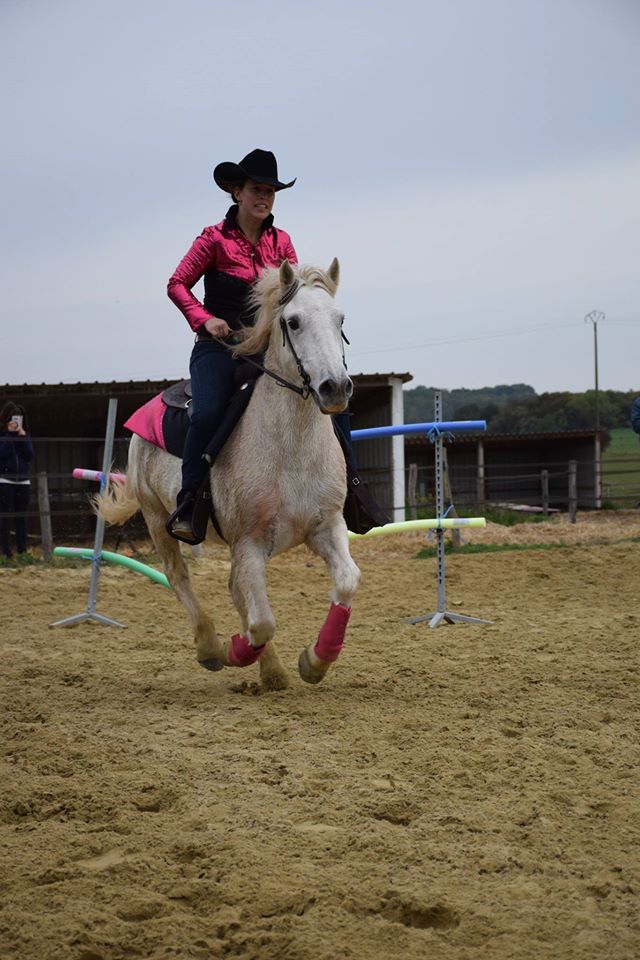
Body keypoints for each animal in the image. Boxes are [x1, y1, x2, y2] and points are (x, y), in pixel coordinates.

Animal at [99, 258, 360, 688]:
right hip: (157, 519)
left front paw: (315, 661)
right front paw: (234, 652)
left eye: (341, 319)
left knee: (235, 590)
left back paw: (271, 672)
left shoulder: (326, 527)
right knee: (179, 576)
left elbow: (346, 582)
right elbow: (261, 622)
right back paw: (210, 648)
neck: (291, 451)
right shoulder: (249, 543)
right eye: (293, 322)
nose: (335, 388)